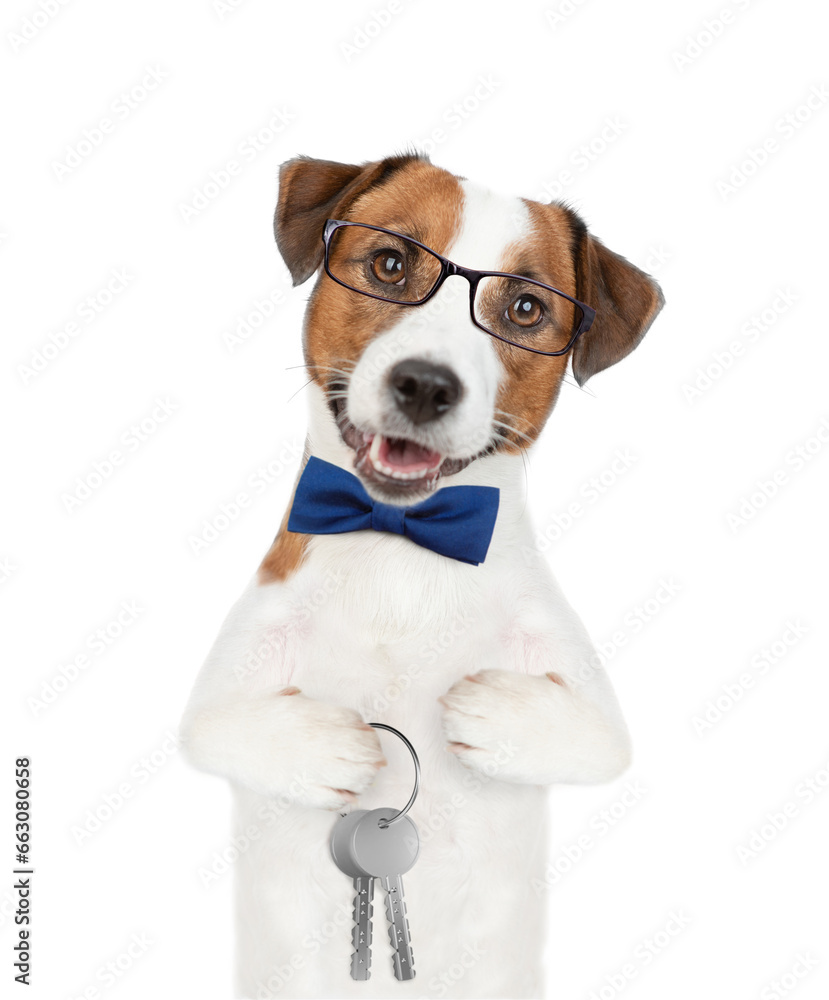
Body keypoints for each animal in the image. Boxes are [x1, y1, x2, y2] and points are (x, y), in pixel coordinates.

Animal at [181, 150, 668, 1000]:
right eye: (388, 263)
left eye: (527, 309)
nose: (426, 384)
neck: (401, 543)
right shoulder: (213, 700)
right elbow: (219, 728)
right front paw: (327, 744)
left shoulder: (596, 715)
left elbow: (593, 738)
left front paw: (493, 712)